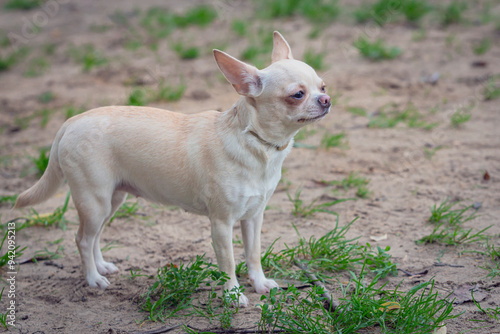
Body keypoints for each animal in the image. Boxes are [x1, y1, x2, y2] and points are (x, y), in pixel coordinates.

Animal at [14, 31, 328, 306]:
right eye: (297, 95)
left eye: (323, 86)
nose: (326, 100)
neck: (254, 141)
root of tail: (72, 121)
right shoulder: (221, 224)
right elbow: (228, 264)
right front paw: (233, 296)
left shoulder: (253, 217)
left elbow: (253, 254)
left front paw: (260, 283)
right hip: (95, 203)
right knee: (82, 239)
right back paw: (93, 279)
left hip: (112, 201)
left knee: (94, 237)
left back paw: (101, 266)